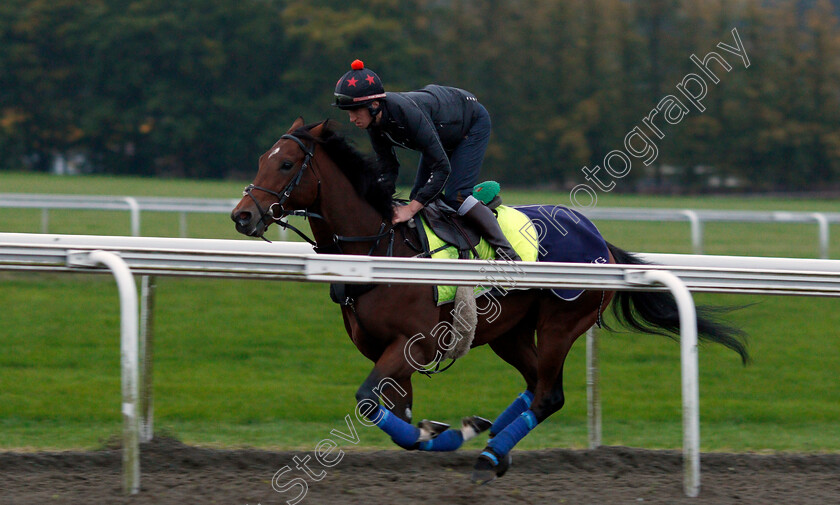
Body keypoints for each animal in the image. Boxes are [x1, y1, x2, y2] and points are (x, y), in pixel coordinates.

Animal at [230, 116, 748, 482]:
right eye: (260, 158)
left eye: (286, 163)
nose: (242, 215)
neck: (379, 249)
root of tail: (600, 240)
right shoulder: (385, 352)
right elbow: (397, 417)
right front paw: (443, 432)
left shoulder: (413, 343)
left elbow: (367, 403)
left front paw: (450, 434)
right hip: (508, 333)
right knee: (535, 385)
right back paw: (491, 433)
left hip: (561, 323)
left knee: (549, 395)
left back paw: (491, 454)